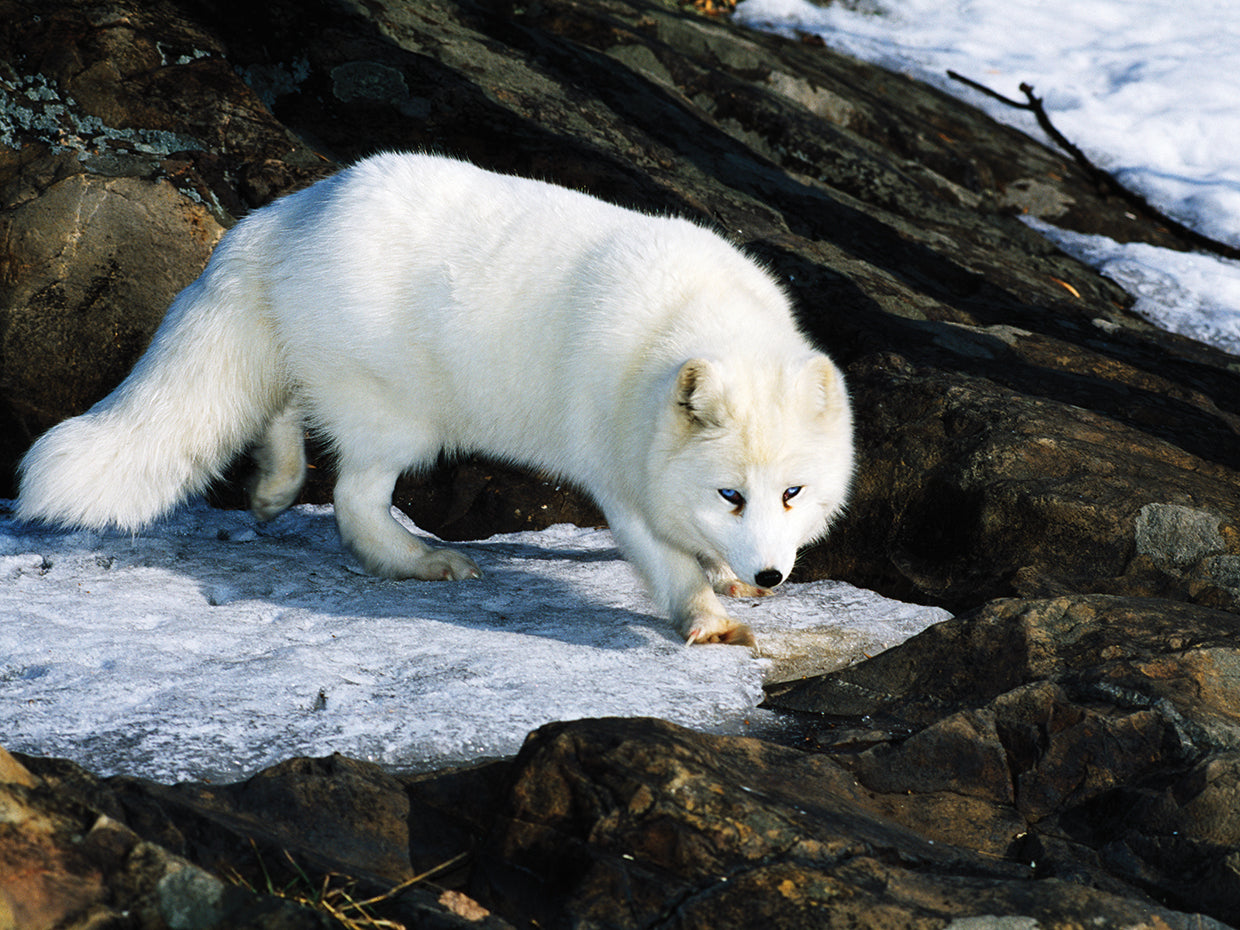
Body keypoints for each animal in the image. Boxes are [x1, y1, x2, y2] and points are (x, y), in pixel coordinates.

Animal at [17, 152, 854, 645]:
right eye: (729, 494)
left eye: (791, 492)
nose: (771, 576)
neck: (693, 320)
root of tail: (283, 214)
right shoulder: (619, 481)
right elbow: (667, 562)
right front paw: (709, 619)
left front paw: (725, 579)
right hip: (400, 420)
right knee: (352, 500)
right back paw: (422, 561)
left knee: (285, 408)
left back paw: (273, 489)